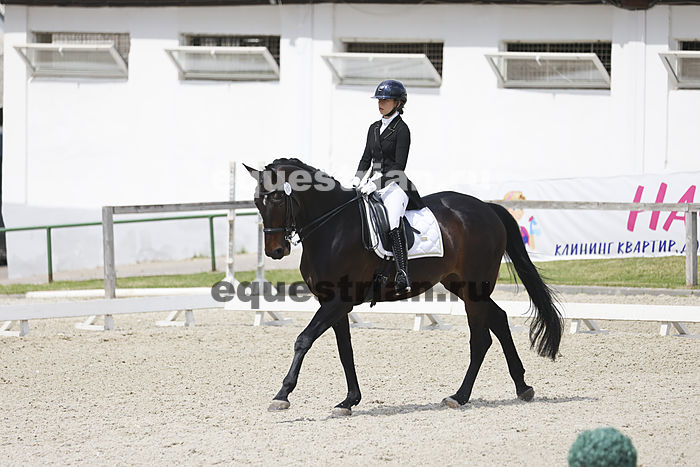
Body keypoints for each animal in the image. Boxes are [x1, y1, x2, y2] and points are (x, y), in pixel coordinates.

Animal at [244, 158, 563, 415]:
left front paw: (282, 394)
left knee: (481, 339)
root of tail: (486, 207)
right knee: (499, 319)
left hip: (474, 288)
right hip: (462, 286)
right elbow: (345, 349)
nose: (275, 251)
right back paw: (522, 386)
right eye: (257, 201)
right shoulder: (331, 302)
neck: (332, 227)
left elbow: (304, 339)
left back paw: (459, 396)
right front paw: (349, 401)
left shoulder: (339, 301)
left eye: (276, 198)